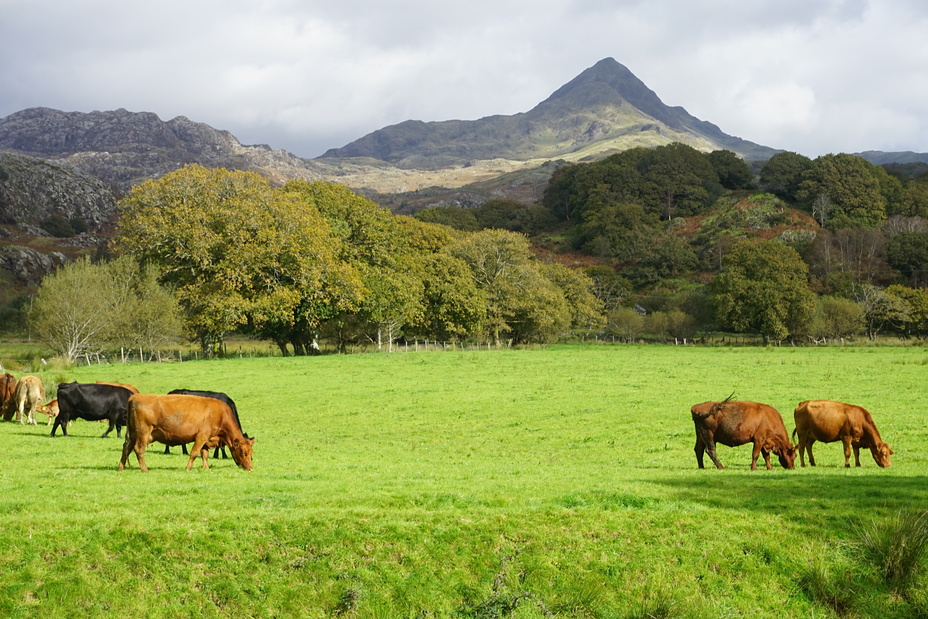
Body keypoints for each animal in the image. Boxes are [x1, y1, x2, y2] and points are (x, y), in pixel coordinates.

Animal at [121, 394, 258, 472]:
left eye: (251, 453)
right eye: (243, 452)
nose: (250, 468)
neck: (220, 414)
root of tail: (135, 397)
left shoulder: (206, 439)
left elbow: (204, 454)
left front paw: (206, 468)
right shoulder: (201, 436)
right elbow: (194, 453)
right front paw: (188, 468)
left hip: (133, 434)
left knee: (126, 448)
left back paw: (121, 467)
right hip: (143, 433)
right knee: (138, 449)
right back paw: (144, 469)